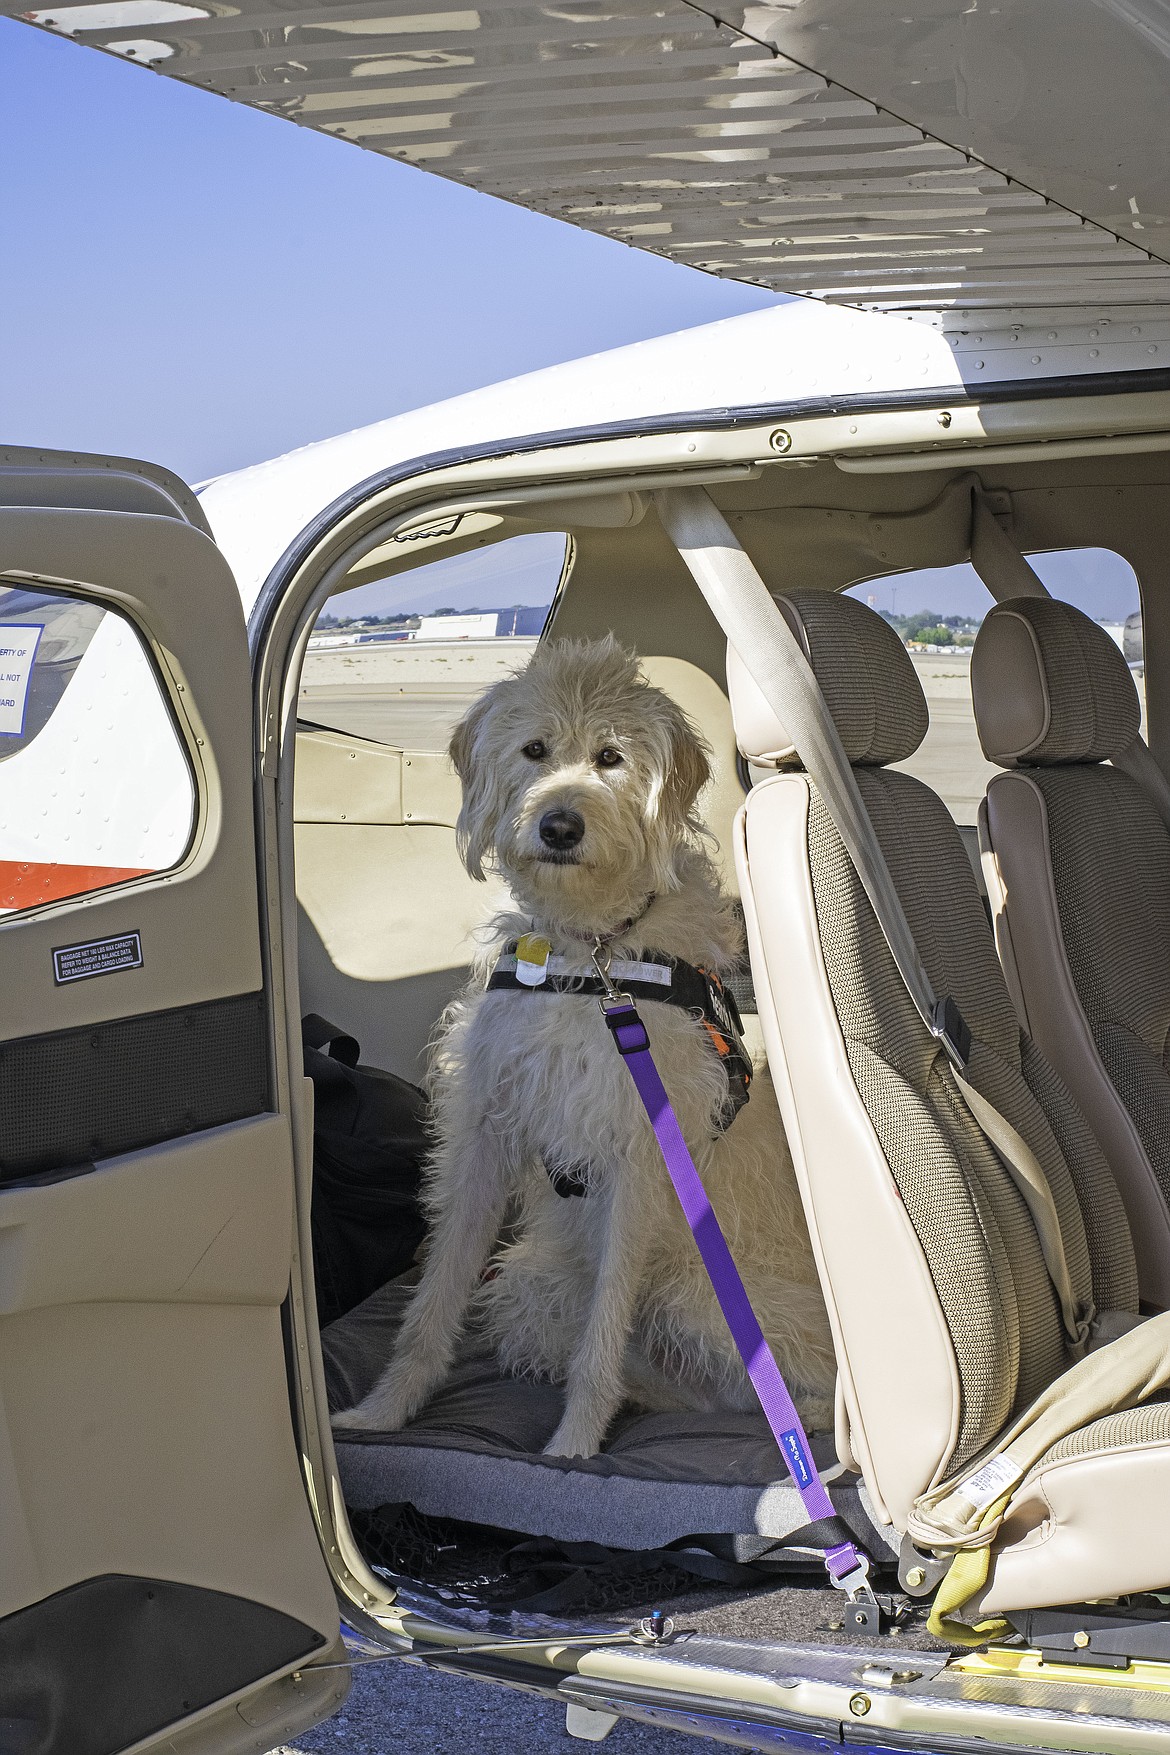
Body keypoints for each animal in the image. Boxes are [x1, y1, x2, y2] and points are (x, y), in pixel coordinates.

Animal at [333, 635, 838, 1453]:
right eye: (535, 750)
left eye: (610, 757)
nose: (560, 826)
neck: (588, 957)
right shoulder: (484, 1131)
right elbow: (438, 1290)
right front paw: (385, 1410)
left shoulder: (640, 1156)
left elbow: (606, 1317)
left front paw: (573, 1441)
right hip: (531, 1283)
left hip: (698, 1290)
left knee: (791, 1393)